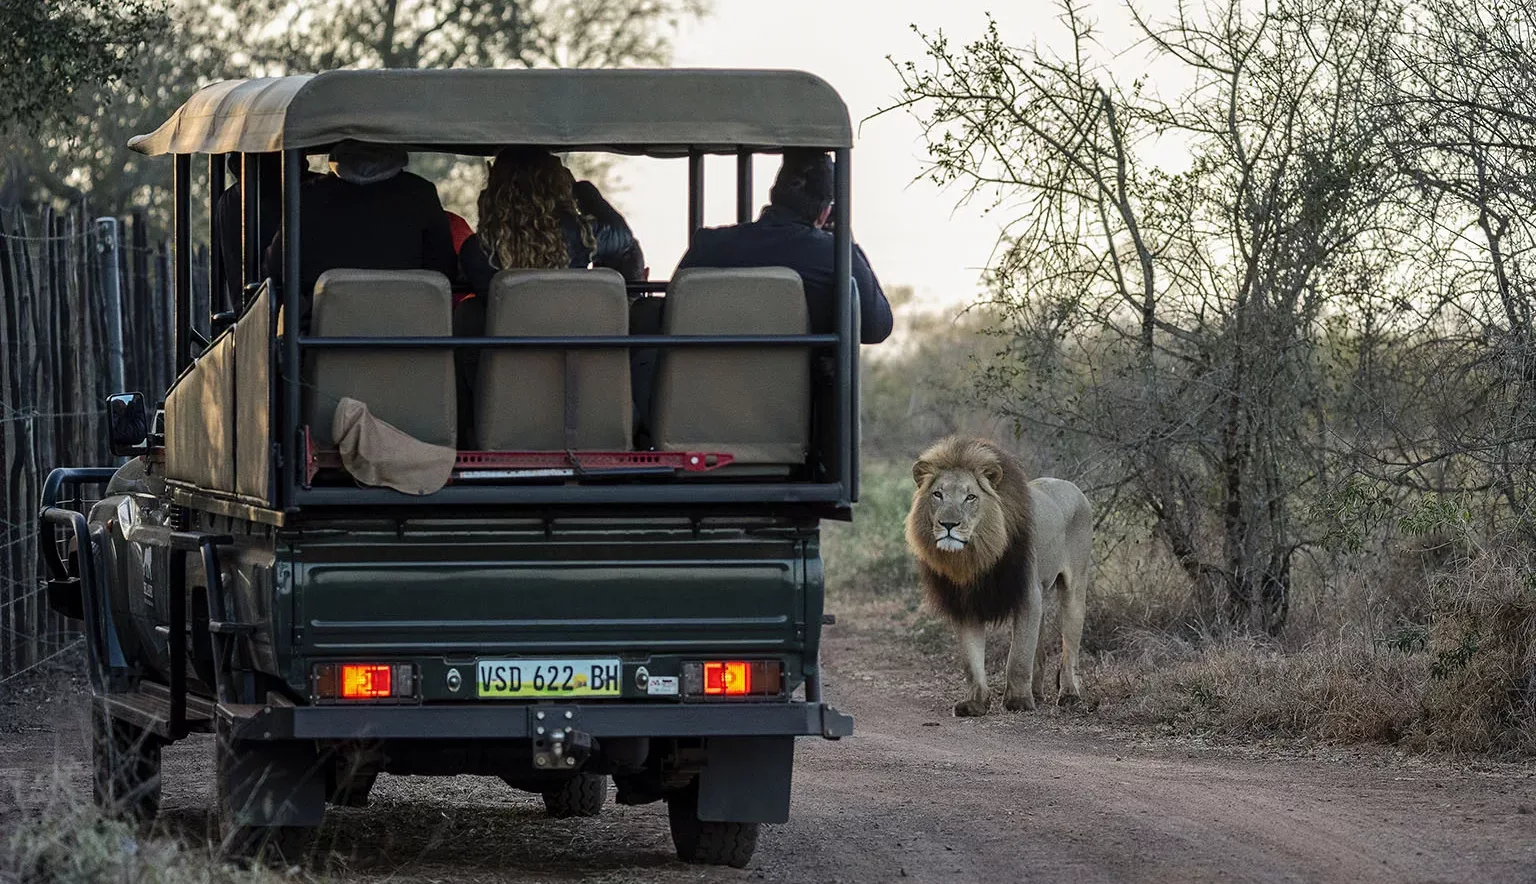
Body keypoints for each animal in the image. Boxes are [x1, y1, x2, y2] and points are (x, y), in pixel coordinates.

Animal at [904, 436, 1092, 716]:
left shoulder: (1027, 596)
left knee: (1070, 647)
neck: (975, 557)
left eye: (970, 497)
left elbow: (1018, 656)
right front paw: (976, 703)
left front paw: (1018, 701)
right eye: (938, 494)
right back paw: (1037, 692)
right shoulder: (966, 603)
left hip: (1074, 588)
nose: (949, 524)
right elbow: (971, 661)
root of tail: (1072, 487)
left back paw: (1068, 694)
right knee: (1040, 648)